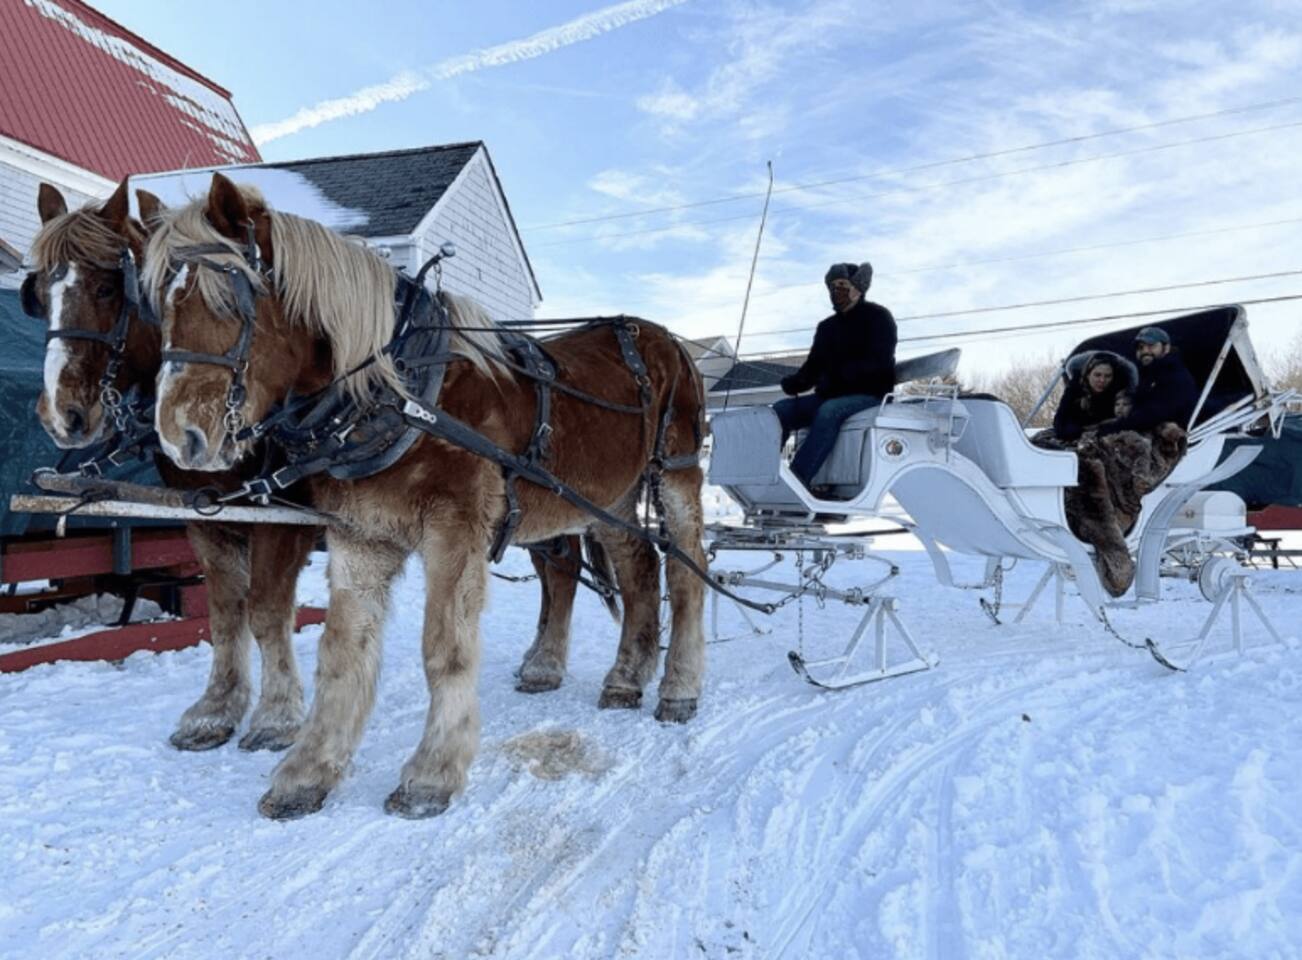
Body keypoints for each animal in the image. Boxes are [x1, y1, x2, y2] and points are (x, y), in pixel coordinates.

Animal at [147, 172, 707, 819]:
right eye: (158, 305)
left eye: (228, 301)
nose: (179, 437)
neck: (402, 392)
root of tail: (664, 338)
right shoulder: (360, 535)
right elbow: (340, 651)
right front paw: (307, 772)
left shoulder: (454, 528)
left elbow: (444, 648)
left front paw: (432, 772)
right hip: (609, 498)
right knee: (640, 570)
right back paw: (626, 678)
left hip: (676, 476)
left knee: (687, 572)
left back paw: (679, 687)